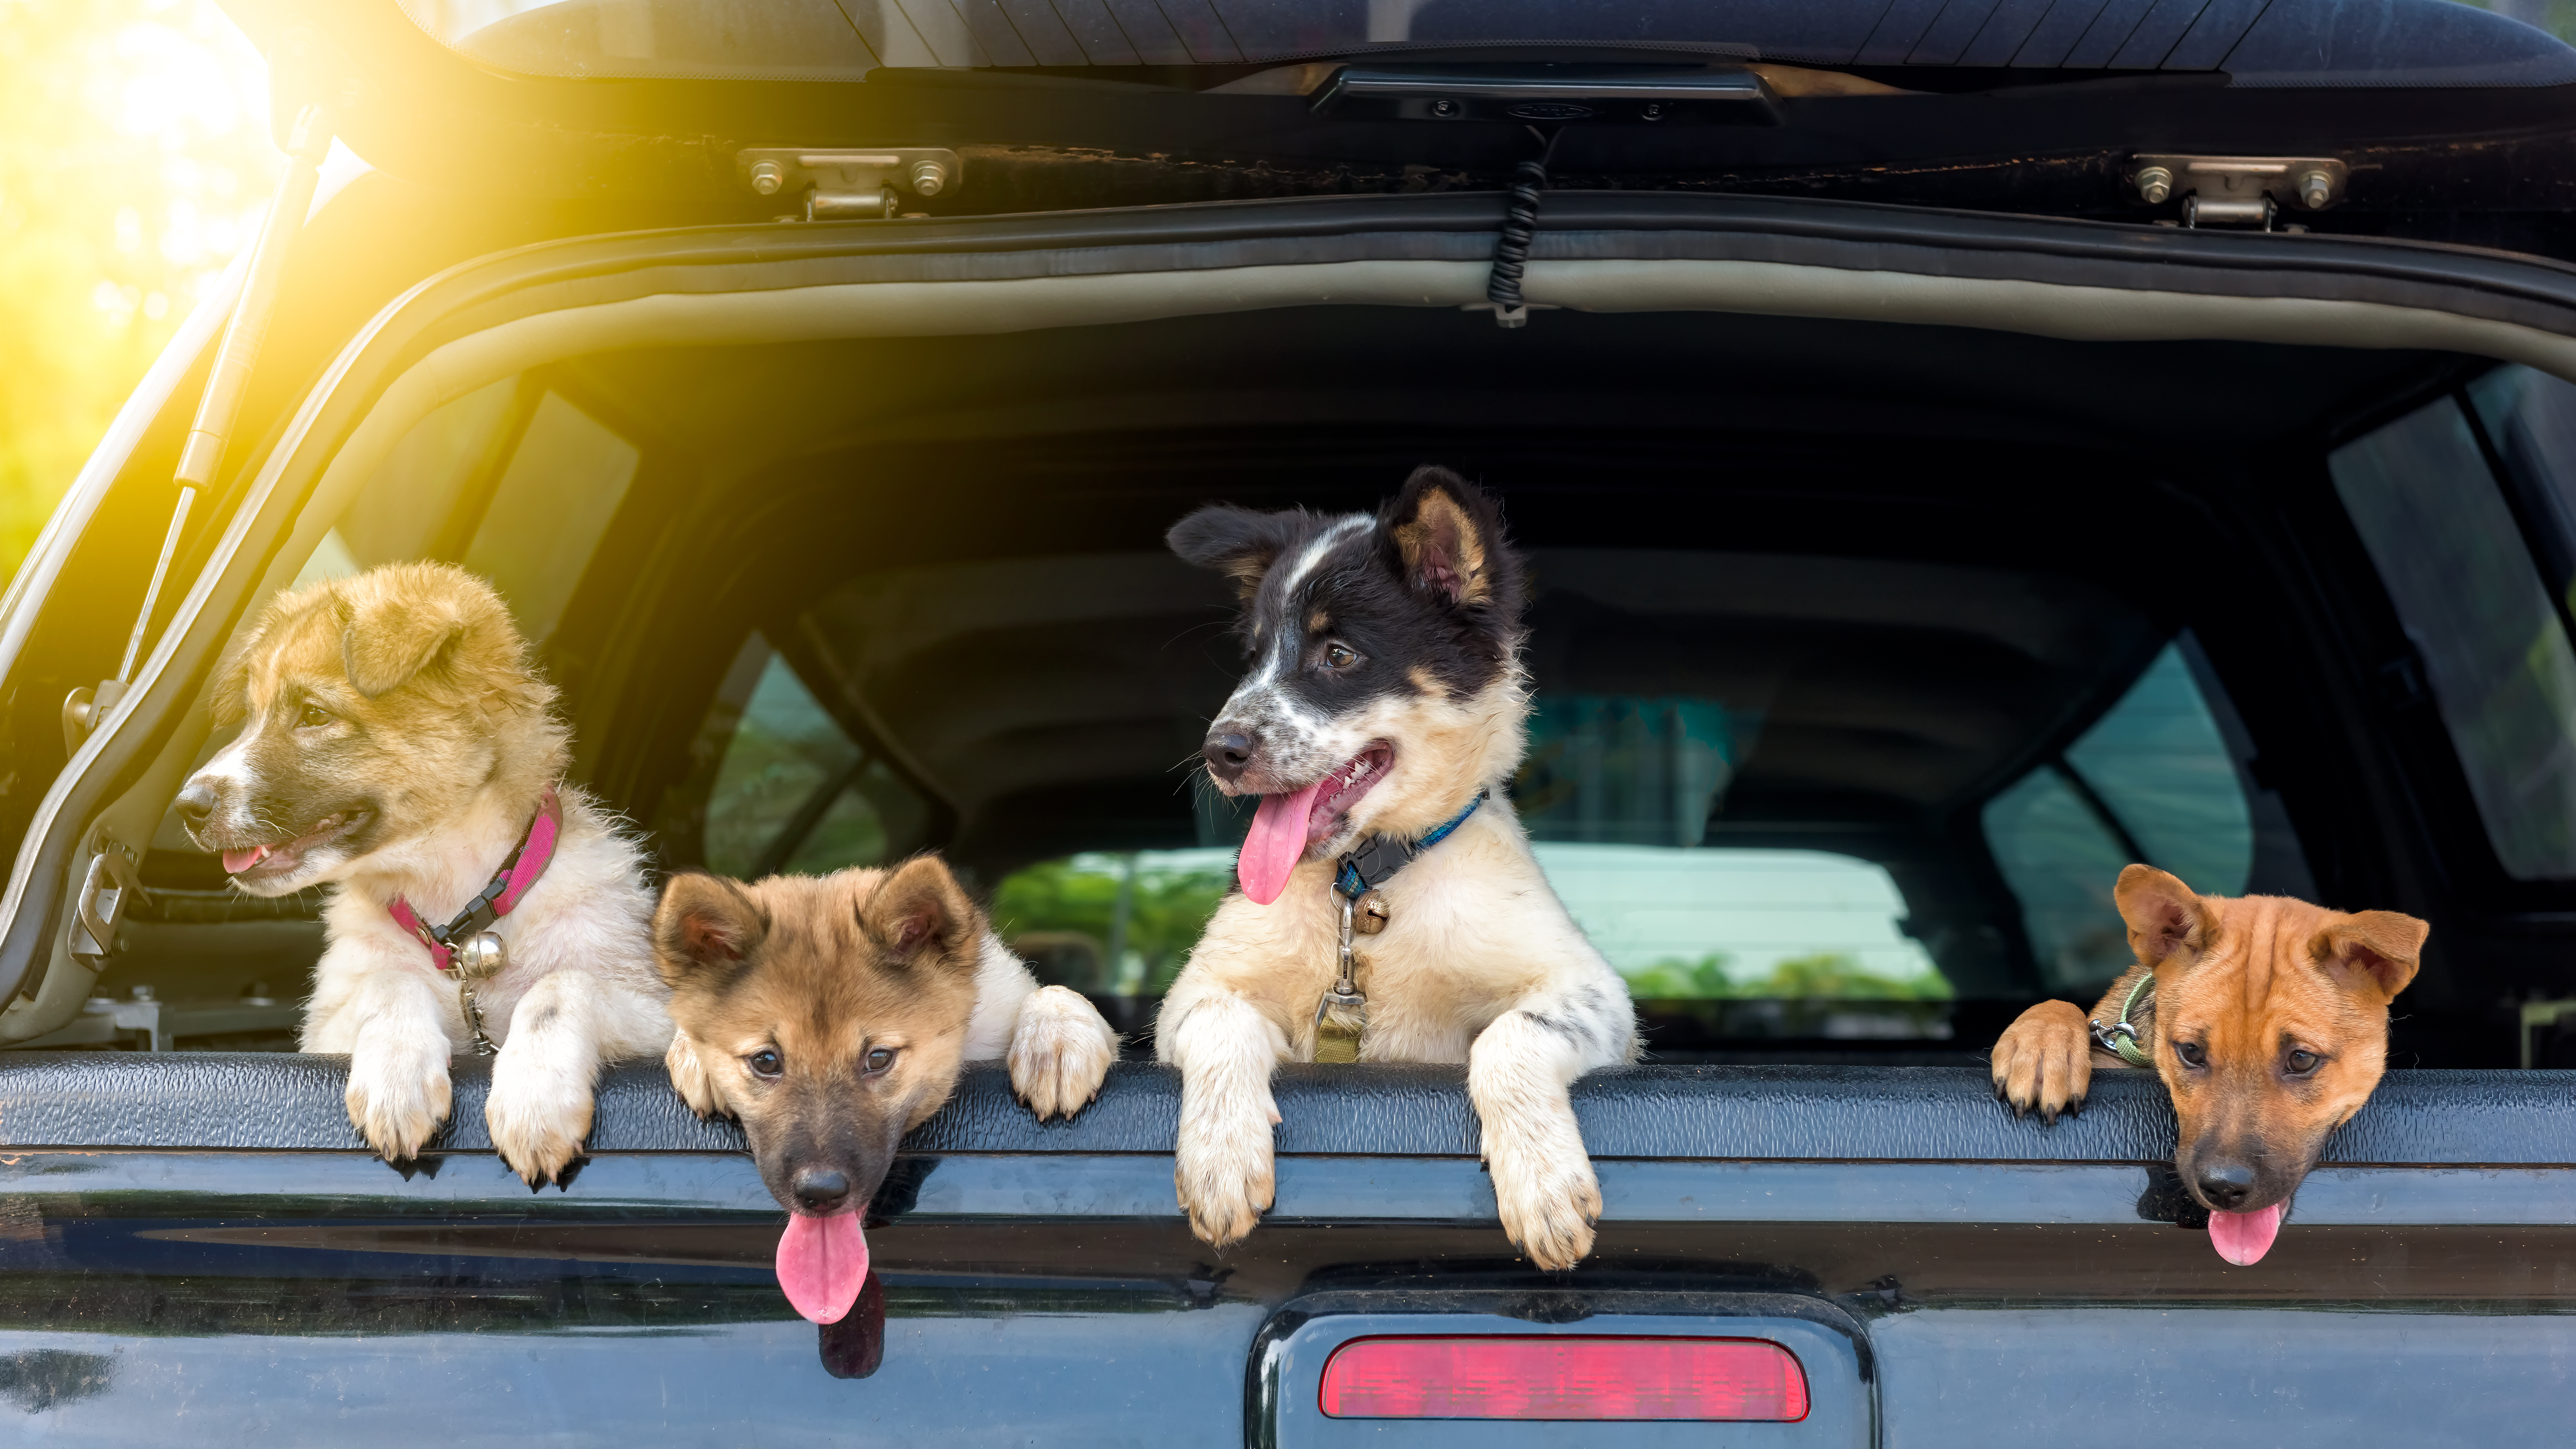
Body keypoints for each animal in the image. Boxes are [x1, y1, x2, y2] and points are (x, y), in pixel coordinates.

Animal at [178, 559, 669, 1181]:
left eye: (314, 714)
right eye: (251, 717)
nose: (187, 806)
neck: (457, 917)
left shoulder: (663, 1017)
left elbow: (563, 986)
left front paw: (535, 1098)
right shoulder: (324, 1031)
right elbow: (390, 980)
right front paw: (397, 1079)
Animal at [649, 856, 1113, 1320]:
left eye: (878, 1058)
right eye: (766, 1061)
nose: (820, 1192)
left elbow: (1055, 993)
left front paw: (1056, 1040)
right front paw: (691, 1052)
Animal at [1164, 464, 1638, 1263]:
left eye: (1338, 655)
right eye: (1253, 658)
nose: (1218, 752)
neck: (1367, 880)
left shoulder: (1596, 995)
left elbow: (1515, 1036)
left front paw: (1542, 1181)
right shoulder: (1190, 997)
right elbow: (1218, 1018)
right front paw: (1220, 1158)